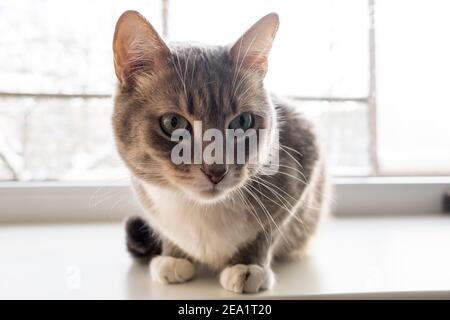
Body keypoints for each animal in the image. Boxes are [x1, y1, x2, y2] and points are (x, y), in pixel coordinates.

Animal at [112, 11, 328, 294]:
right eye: (173, 123)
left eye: (242, 122)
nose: (216, 170)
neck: (201, 209)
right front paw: (173, 257)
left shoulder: (303, 157)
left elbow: (268, 229)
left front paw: (248, 265)